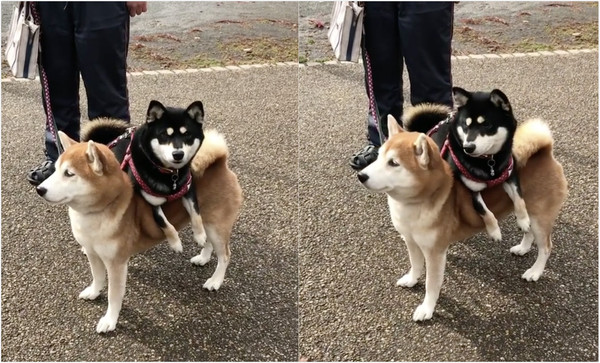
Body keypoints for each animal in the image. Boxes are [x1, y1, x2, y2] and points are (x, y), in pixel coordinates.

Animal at [35, 129, 240, 334]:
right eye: (55, 169)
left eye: (69, 173)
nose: (39, 189)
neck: (98, 212)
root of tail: (220, 163)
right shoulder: (93, 254)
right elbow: (98, 277)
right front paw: (94, 292)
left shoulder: (116, 264)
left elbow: (114, 295)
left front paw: (110, 320)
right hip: (208, 223)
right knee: (207, 241)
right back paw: (203, 258)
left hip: (216, 225)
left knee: (225, 255)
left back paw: (215, 281)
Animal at [358, 116, 568, 322]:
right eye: (378, 157)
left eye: (394, 163)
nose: (361, 175)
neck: (416, 205)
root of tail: (545, 151)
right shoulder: (411, 241)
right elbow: (416, 265)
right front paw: (411, 279)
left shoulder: (435, 253)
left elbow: (431, 285)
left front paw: (427, 309)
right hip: (530, 212)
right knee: (528, 229)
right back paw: (523, 248)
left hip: (540, 216)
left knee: (545, 247)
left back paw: (535, 271)